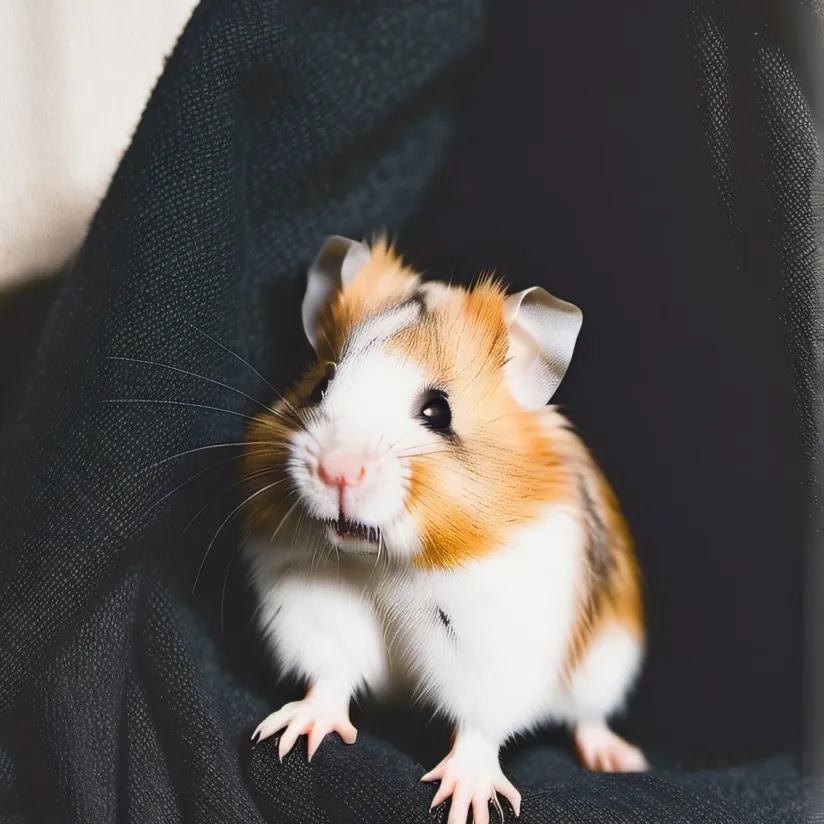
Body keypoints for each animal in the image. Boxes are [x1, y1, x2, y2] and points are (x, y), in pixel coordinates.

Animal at [243, 235, 647, 824]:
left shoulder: (493, 645)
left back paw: (618, 759)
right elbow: (331, 677)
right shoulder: (316, 606)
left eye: (438, 412)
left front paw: (464, 801)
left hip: (604, 664)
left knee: (589, 717)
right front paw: (292, 735)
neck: (382, 565)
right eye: (320, 386)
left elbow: (478, 727)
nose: (336, 470)